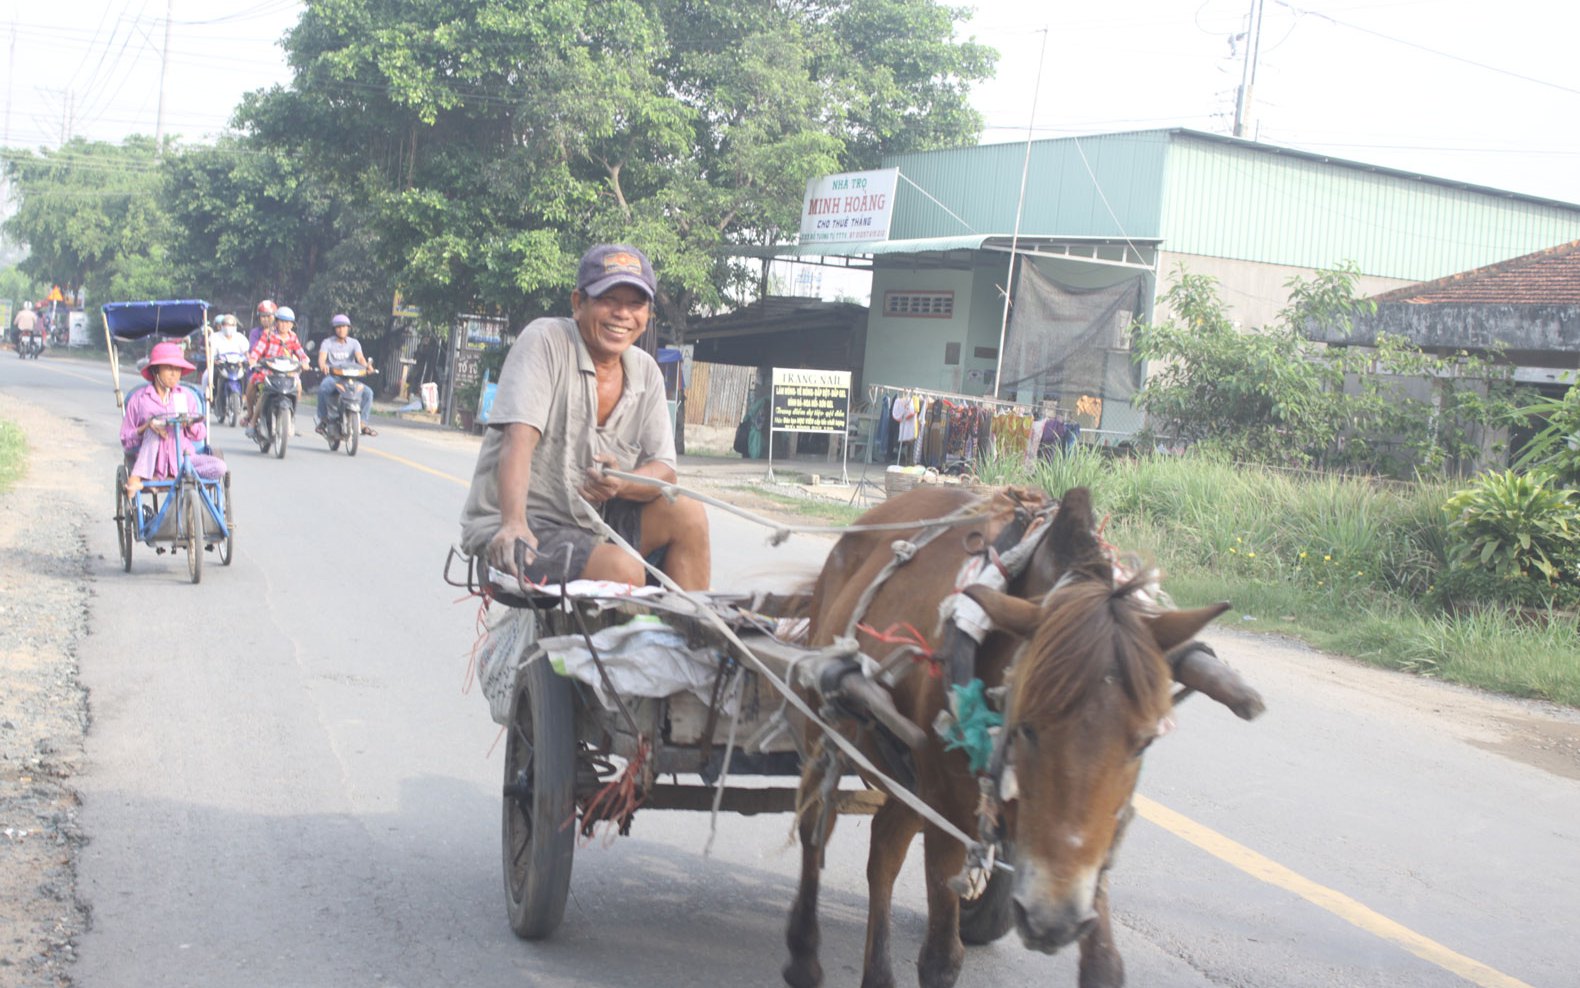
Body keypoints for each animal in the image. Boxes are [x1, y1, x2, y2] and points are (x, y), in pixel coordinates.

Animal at [783, 486, 1251, 986]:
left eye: (1144, 741)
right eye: (1026, 727)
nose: (1052, 920)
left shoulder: (1090, 839)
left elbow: (1105, 966)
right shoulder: (947, 808)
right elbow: (940, 959)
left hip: (909, 776)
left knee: (885, 847)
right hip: (826, 727)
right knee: (815, 826)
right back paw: (803, 955)